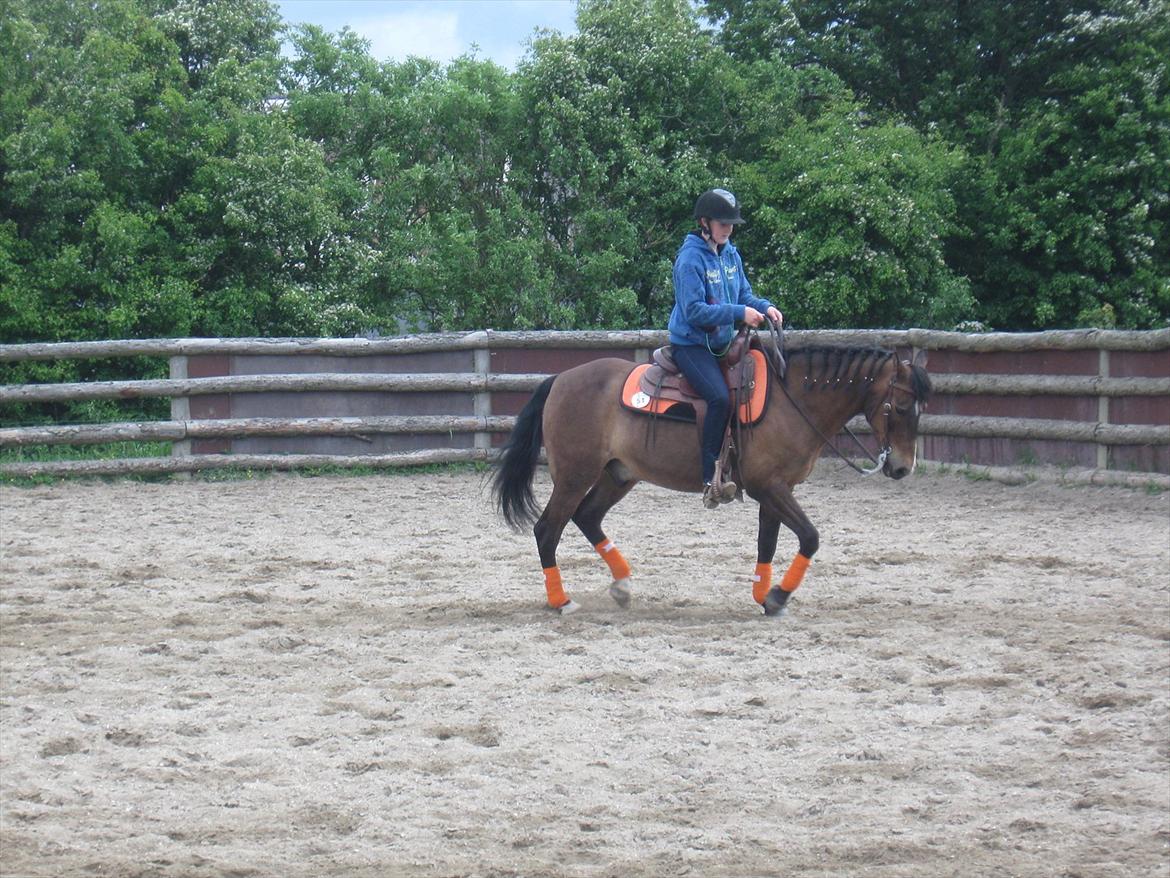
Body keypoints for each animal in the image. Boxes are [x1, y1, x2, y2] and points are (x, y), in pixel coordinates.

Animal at [493, 334, 931, 618]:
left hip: (618, 474)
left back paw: (622, 585)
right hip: (574, 474)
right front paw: (777, 596)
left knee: (587, 517)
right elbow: (810, 536)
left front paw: (765, 596)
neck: (791, 401)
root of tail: (559, 380)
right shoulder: (769, 488)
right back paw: (561, 601)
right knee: (548, 529)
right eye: (901, 406)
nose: (901, 467)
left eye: (920, 408)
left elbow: (767, 544)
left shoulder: (775, 490)